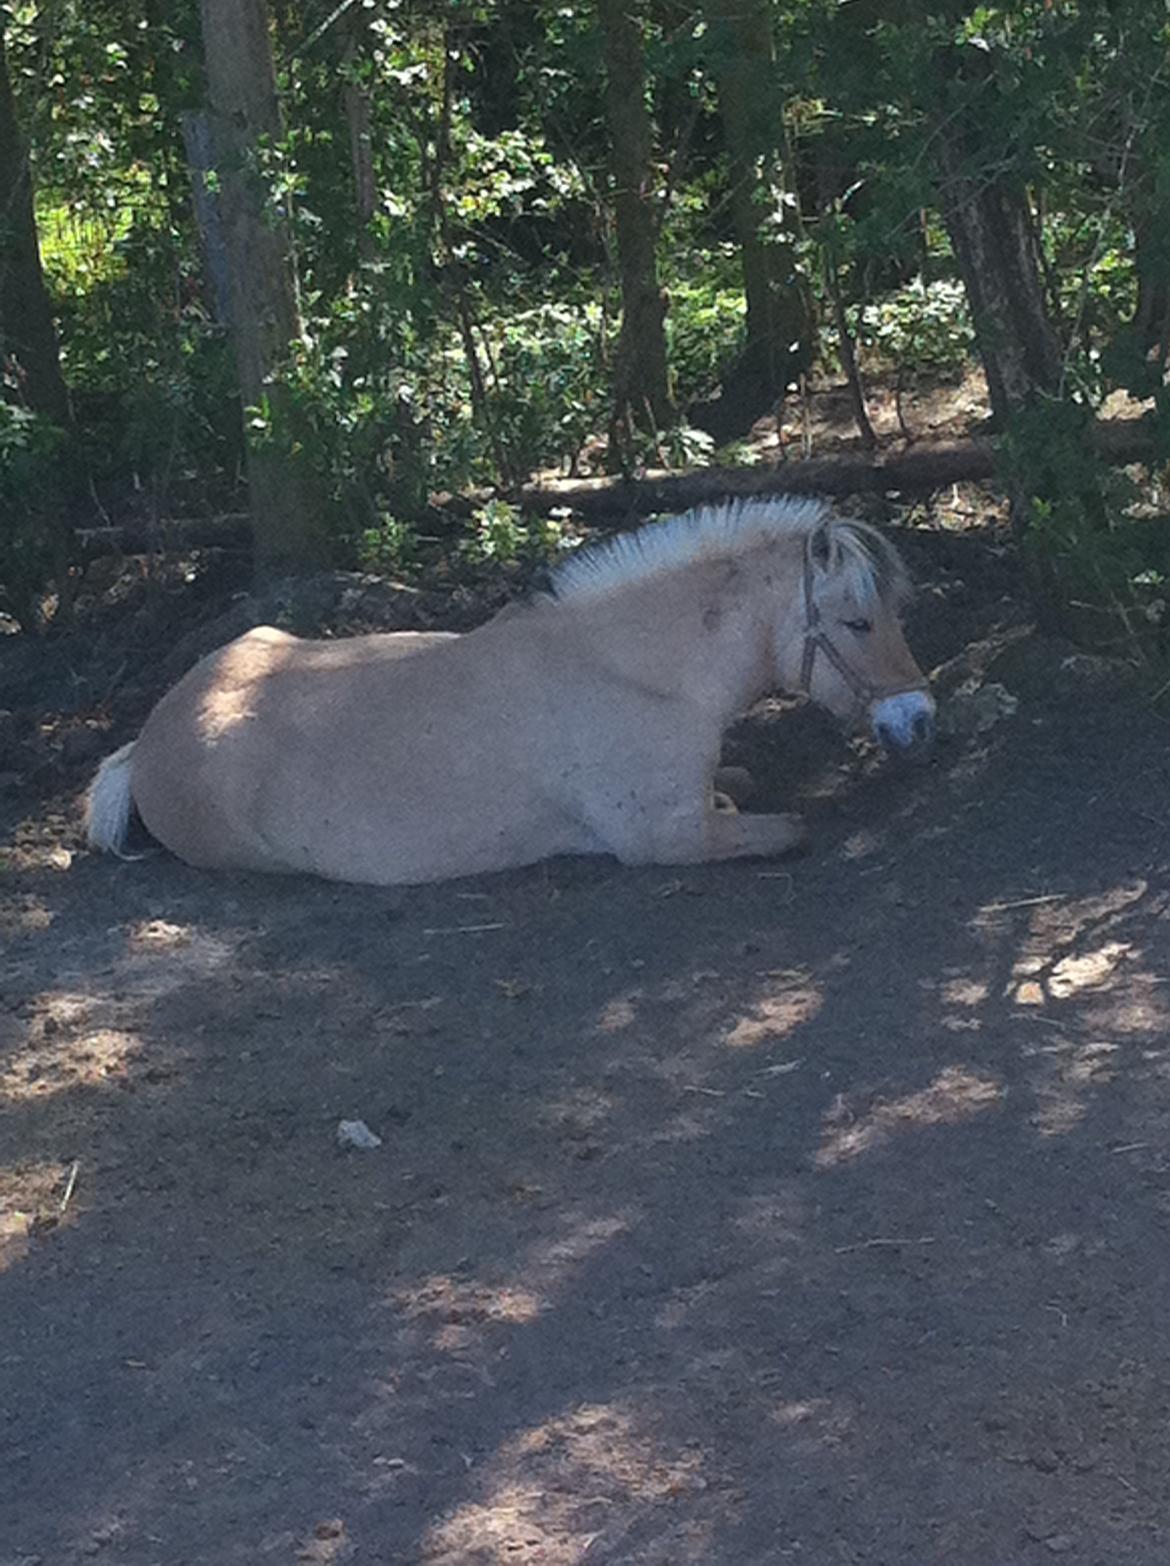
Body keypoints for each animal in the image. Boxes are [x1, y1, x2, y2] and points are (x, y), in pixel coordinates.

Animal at [86, 501, 939, 895]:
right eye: (858, 621)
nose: (919, 720)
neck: (632, 670)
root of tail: (150, 738)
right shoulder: (671, 839)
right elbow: (788, 827)